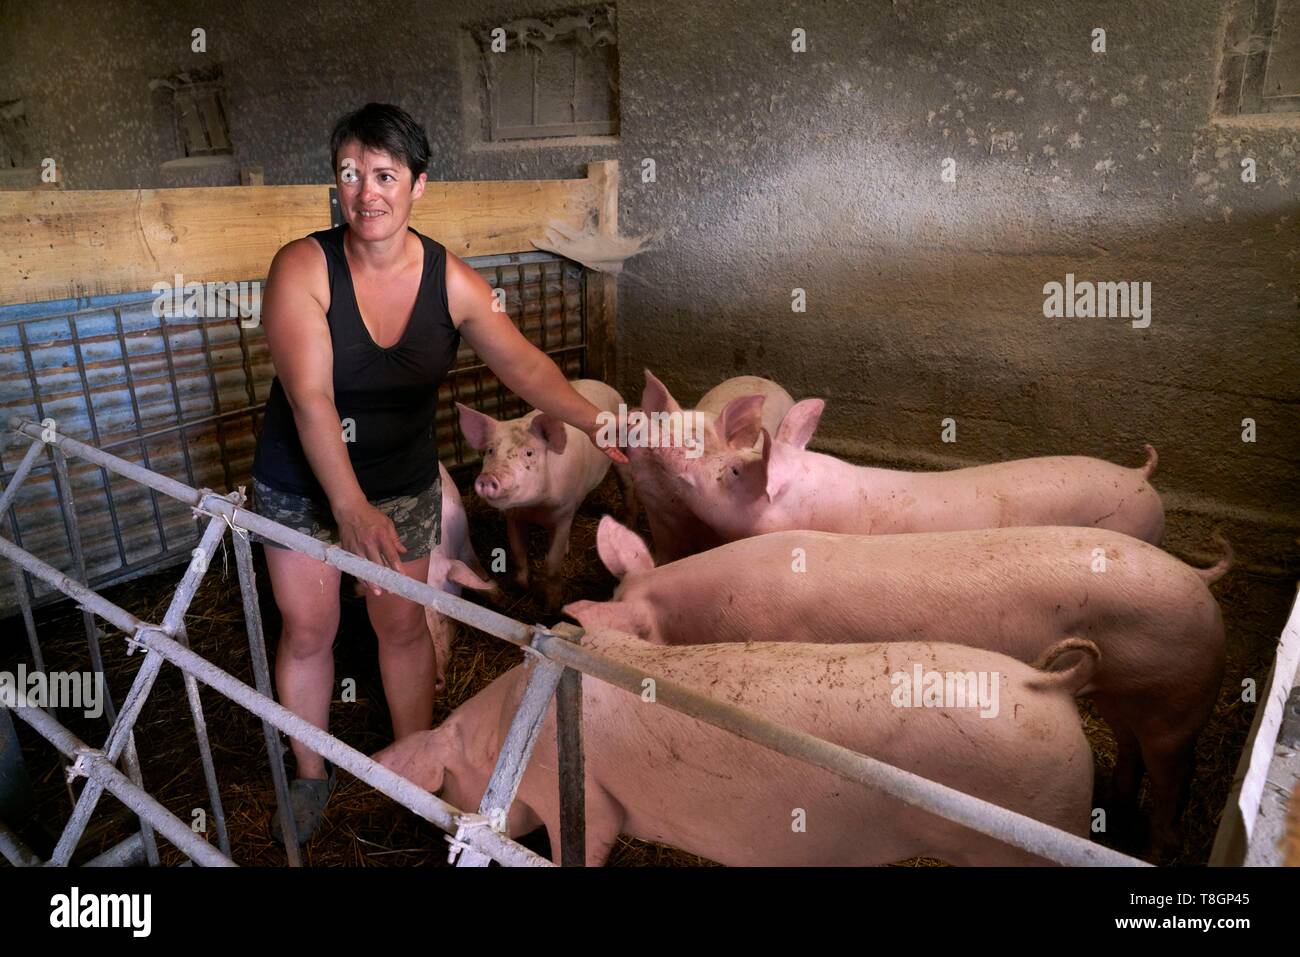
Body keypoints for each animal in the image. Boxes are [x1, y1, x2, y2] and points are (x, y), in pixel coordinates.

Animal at [460, 377, 637, 608]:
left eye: (529, 453)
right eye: (490, 451)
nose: (489, 478)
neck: (535, 507)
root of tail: (604, 384)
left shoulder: (563, 513)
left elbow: (552, 562)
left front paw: (552, 605)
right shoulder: (513, 517)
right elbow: (517, 553)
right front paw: (521, 589)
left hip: (621, 455)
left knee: (626, 485)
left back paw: (628, 522)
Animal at [569, 520, 1227, 858]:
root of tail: (1197, 578)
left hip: (1178, 700)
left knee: (1172, 773)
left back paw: (1158, 846)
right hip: (1124, 695)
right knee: (1129, 743)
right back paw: (1115, 804)